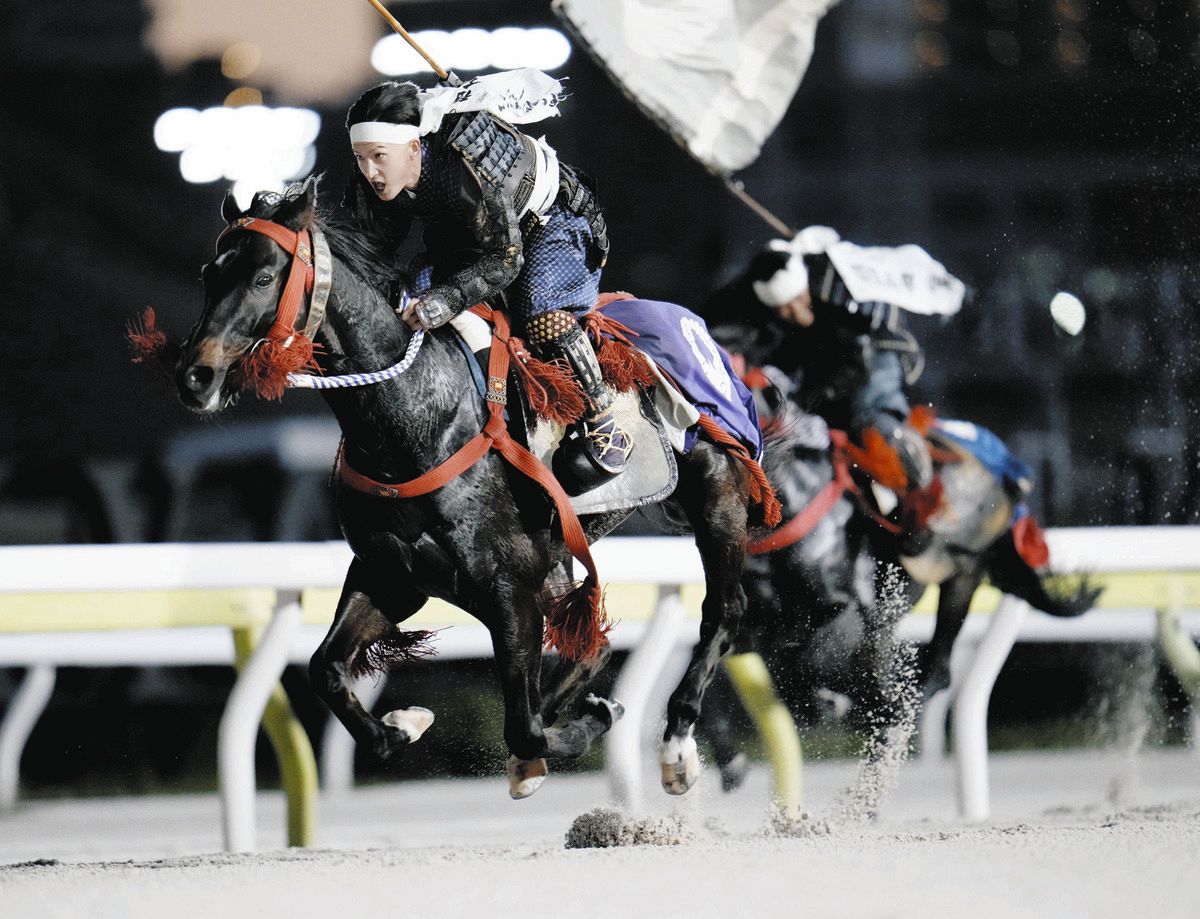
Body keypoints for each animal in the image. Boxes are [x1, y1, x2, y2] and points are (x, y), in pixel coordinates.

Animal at [166, 184, 758, 796]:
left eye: (263, 277)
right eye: (210, 274)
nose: (194, 376)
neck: (413, 416)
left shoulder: (507, 587)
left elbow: (525, 730)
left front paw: (586, 723)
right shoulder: (393, 574)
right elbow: (325, 669)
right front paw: (404, 723)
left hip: (716, 492)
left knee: (723, 609)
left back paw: (676, 744)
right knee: (593, 645)